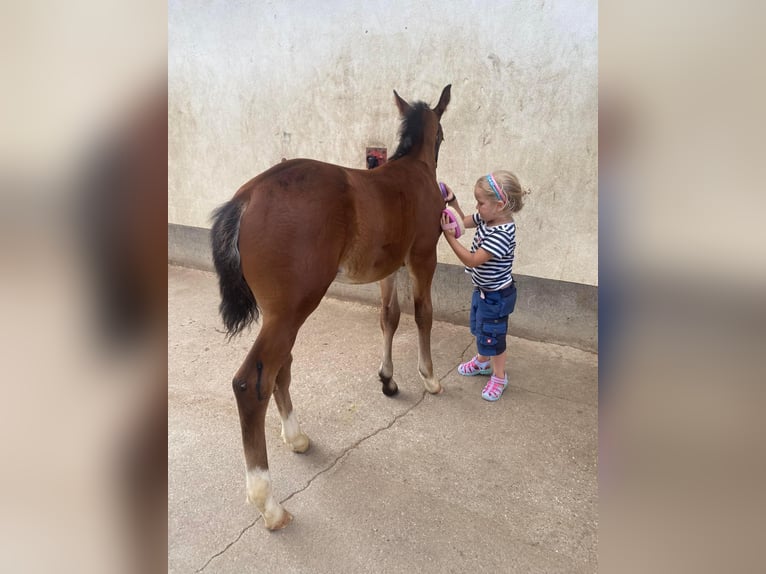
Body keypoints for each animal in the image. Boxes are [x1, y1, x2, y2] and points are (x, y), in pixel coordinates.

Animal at [210, 84, 452, 532]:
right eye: (442, 135)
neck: (411, 169)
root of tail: (247, 197)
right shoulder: (422, 256)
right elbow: (422, 313)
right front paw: (428, 378)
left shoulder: (389, 267)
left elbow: (389, 317)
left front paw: (388, 379)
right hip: (294, 308)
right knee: (252, 383)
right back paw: (268, 504)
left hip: (283, 313)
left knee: (279, 368)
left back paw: (296, 438)